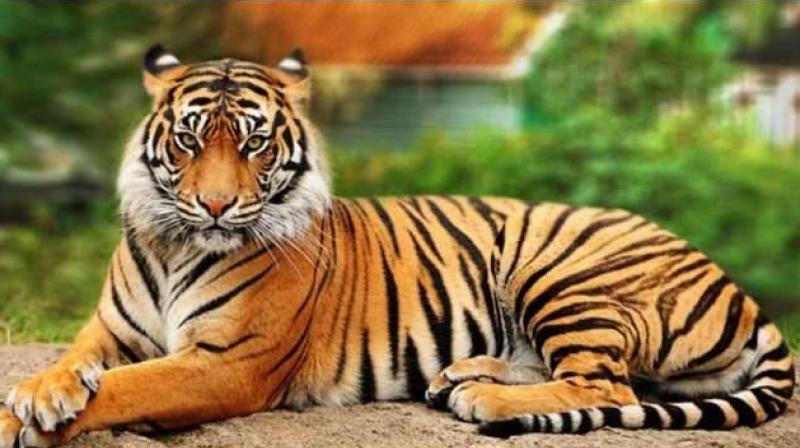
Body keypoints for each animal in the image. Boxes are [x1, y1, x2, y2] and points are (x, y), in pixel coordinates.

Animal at [0, 45, 795, 447]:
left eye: (254, 143)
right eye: (192, 139)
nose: (217, 205)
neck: (173, 244)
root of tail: (737, 286)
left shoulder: (227, 362)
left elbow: (130, 387)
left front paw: (23, 419)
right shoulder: (109, 330)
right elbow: (74, 364)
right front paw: (41, 392)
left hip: (561, 269)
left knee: (607, 384)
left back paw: (483, 401)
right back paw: (461, 376)